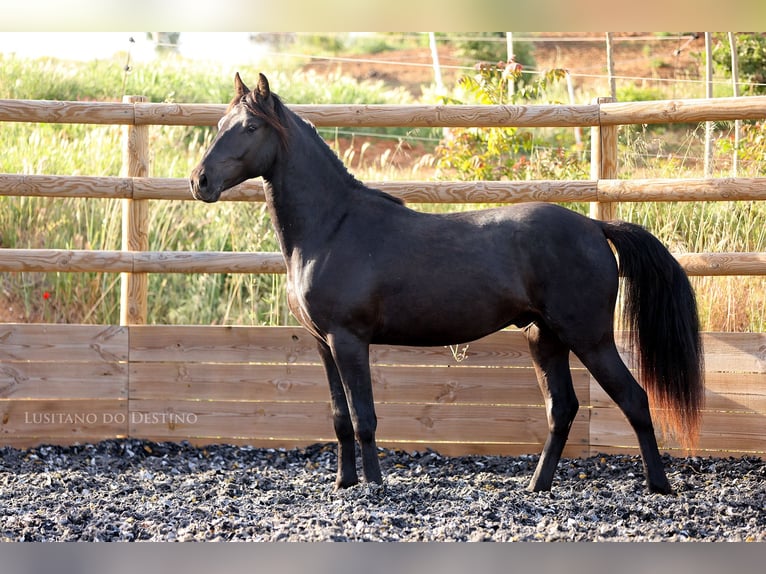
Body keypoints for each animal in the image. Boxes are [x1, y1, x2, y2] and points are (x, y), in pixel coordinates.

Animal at [190, 73, 704, 494]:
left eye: (249, 128)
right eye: (219, 123)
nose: (200, 181)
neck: (332, 227)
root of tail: (595, 227)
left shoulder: (348, 340)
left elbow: (364, 417)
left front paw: (373, 486)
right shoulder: (323, 343)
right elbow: (339, 418)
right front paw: (343, 483)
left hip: (590, 339)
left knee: (634, 400)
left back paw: (659, 488)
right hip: (545, 337)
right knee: (563, 409)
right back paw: (536, 486)